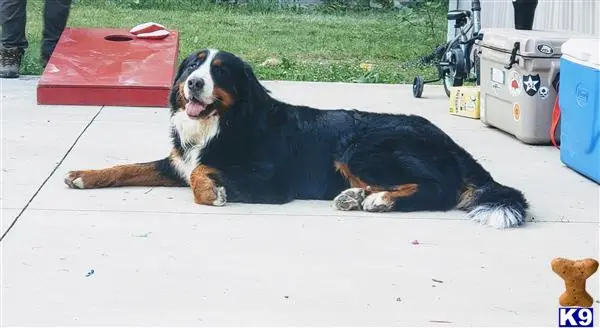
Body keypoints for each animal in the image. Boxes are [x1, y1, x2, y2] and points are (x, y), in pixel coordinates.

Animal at [63, 48, 528, 228]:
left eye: (219, 72)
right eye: (193, 65)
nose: (193, 83)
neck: (224, 122)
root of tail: (450, 141)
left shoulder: (270, 182)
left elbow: (203, 174)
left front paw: (212, 192)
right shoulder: (177, 161)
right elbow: (128, 167)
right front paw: (83, 175)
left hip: (361, 147)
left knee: (440, 189)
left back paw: (378, 200)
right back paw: (356, 196)